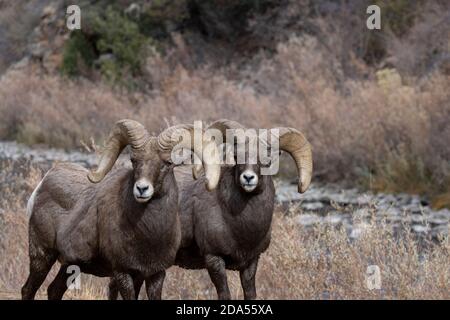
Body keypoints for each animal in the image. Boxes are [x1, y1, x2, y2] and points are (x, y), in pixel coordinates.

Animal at [22, 118, 220, 300]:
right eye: (134, 160)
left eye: (167, 163)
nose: (142, 189)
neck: (149, 234)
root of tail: (43, 183)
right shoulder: (122, 272)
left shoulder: (155, 274)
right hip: (42, 256)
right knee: (28, 289)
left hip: (70, 265)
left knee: (54, 290)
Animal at [109, 118, 312, 300]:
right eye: (236, 156)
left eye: (267, 161)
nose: (248, 178)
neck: (239, 225)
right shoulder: (214, 260)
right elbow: (224, 294)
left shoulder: (251, 262)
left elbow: (250, 294)